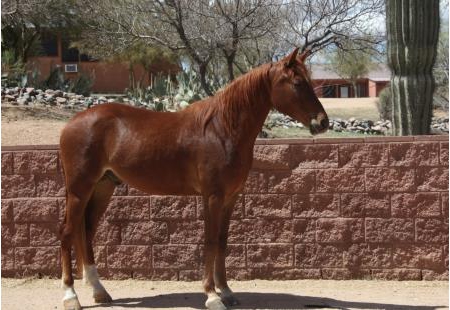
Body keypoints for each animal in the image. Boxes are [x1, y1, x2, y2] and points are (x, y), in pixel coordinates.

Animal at [59, 47, 326, 308]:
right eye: (298, 83)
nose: (323, 122)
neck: (221, 129)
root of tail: (72, 123)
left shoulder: (230, 198)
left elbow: (222, 242)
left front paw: (226, 291)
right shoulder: (212, 197)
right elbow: (210, 241)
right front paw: (211, 295)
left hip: (103, 187)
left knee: (87, 232)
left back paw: (99, 291)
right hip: (79, 189)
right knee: (68, 232)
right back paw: (70, 296)